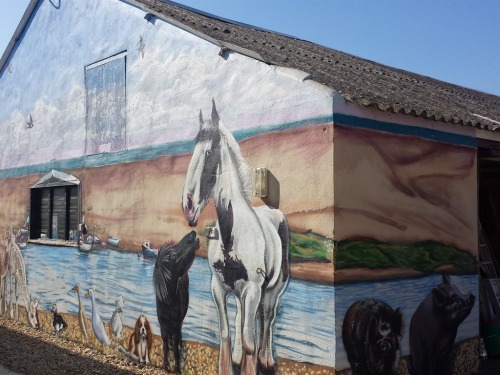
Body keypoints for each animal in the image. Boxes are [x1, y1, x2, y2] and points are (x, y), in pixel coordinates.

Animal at [153, 231, 198, 374]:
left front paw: (177, 369)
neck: (168, 302)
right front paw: (165, 366)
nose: (192, 234)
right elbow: (165, 346)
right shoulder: (163, 326)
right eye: (173, 255)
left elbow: (176, 351)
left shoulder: (176, 326)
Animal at [183, 100, 290, 375]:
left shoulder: (253, 289)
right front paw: (231, 361)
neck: (232, 235)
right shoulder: (219, 288)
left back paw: (267, 359)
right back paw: (240, 356)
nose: (188, 206)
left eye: (209, 152)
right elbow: (225, 336)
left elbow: (250, 339)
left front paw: (252, 362)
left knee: (267, 317)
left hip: (273, 288)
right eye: (192, 149)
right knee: (244, 317)